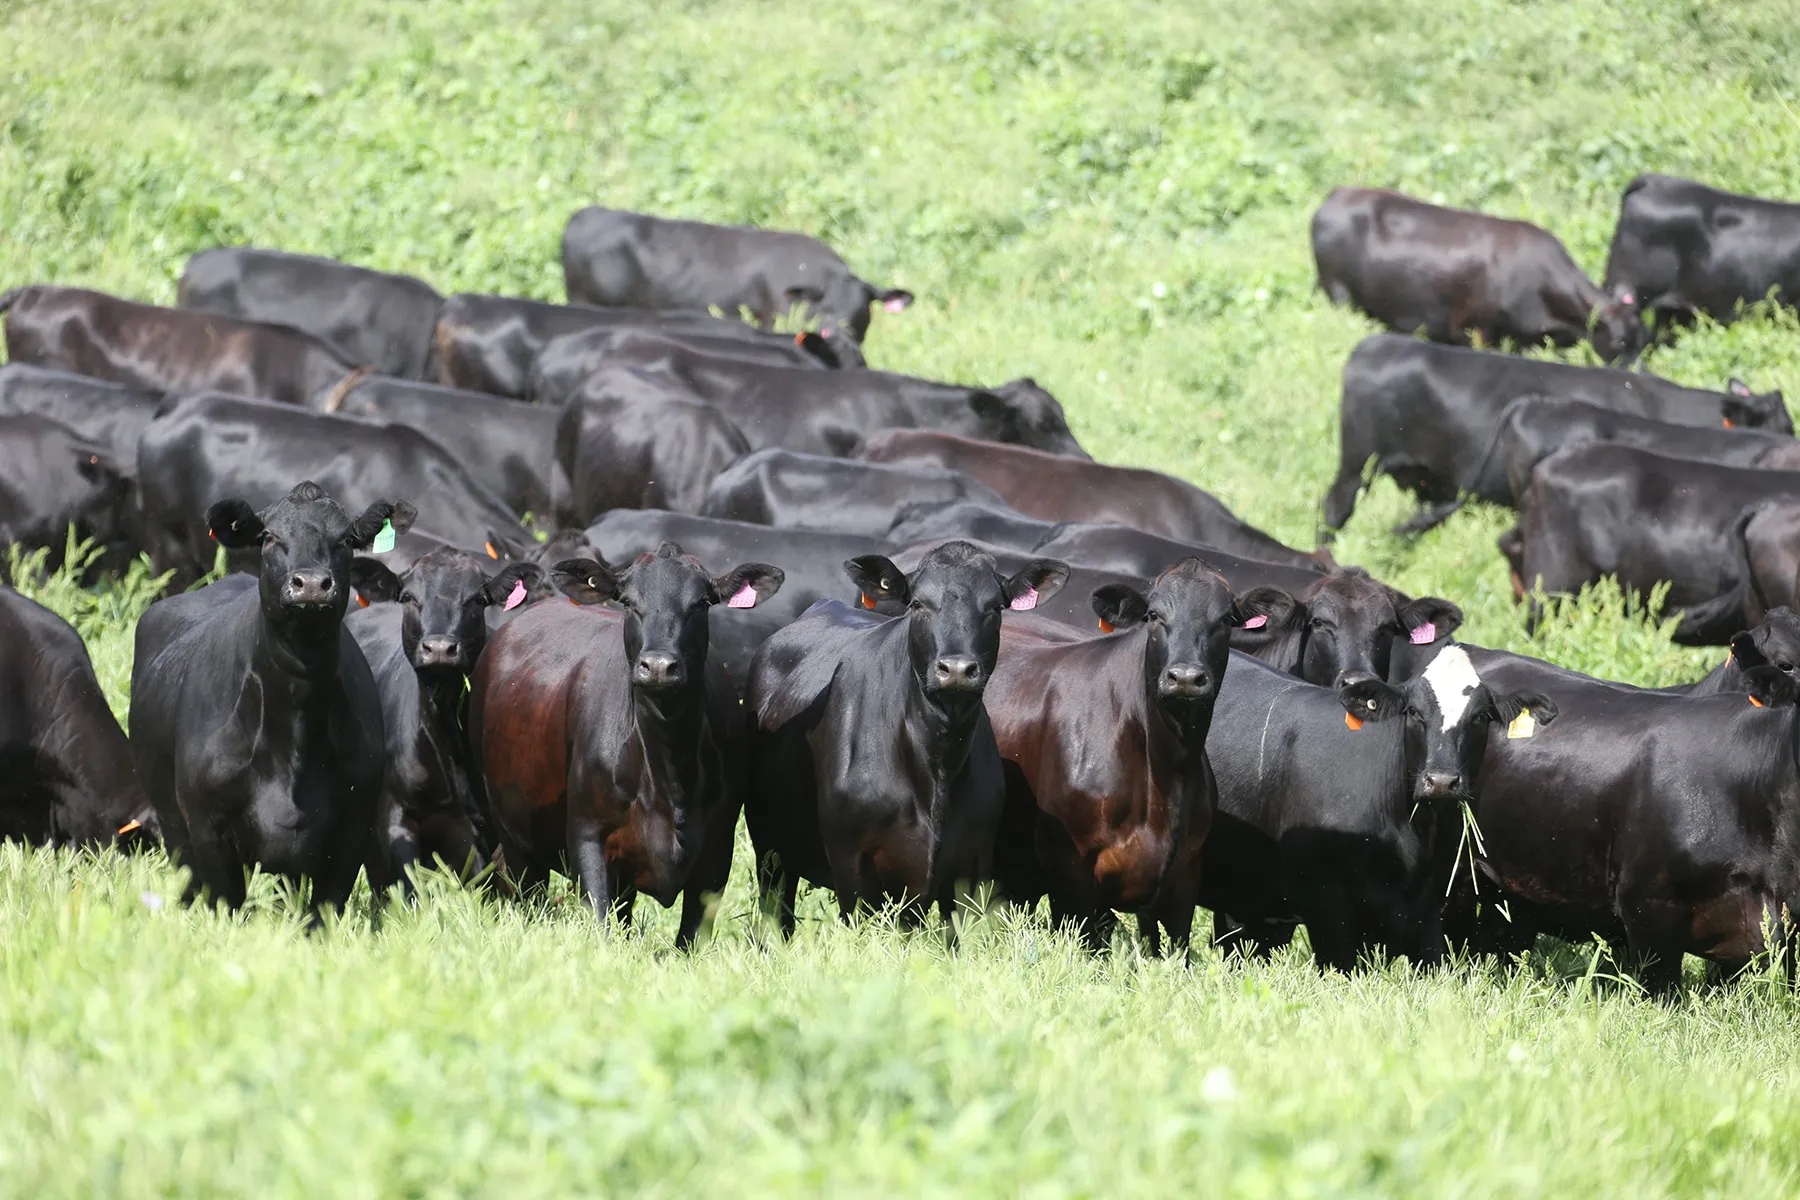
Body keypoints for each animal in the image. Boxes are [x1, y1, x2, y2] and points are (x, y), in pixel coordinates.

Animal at [129, 482, 410, 913]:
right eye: (270, 537)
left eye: (346, 539)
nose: (310, 584)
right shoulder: (207, 828)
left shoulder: (351, 830)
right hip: (175, 829)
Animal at [471, 543, 783, 946]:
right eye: (629, 602)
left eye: (700, 603)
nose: (659, 666)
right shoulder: (587, 837)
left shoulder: (717, 851)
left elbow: (691, 940)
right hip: (515, 834)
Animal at [745, 542, 1068, 937]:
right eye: (917, 604)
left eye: (994, 607)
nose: (956, 669)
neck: (935, 764)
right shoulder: (852, 867)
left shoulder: (972, 869)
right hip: (771, 853)